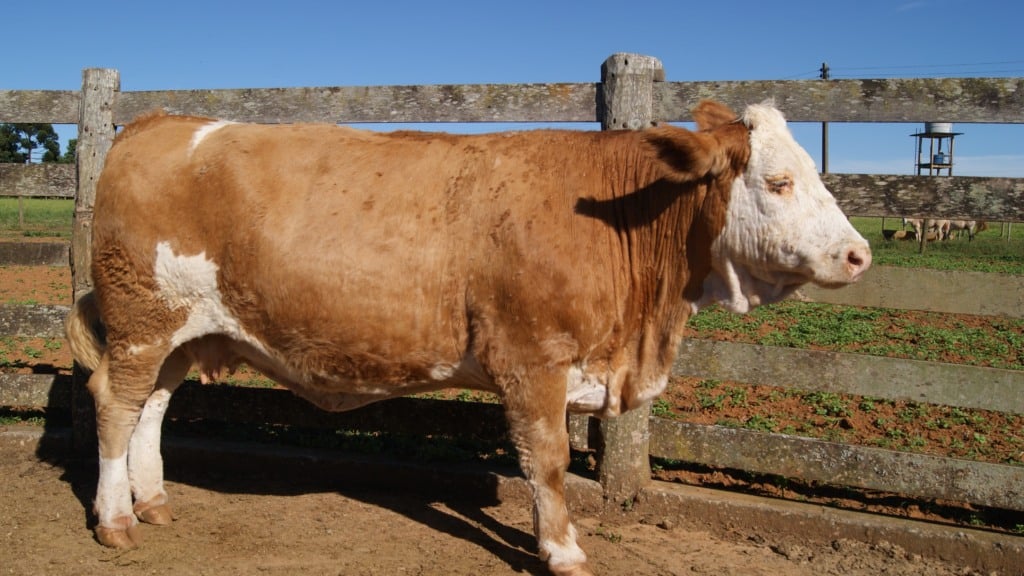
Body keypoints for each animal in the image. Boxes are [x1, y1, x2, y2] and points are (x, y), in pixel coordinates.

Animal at [64, 100, 868, 569]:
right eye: (778, 181)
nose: (858, 254)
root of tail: (160, 121)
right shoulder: (533, 360)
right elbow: (547, 462)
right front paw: (564, 550)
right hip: (141, 320)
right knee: (114, 403)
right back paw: (115, 520)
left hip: (180, 331)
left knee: (152, 406)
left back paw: (152, 501)